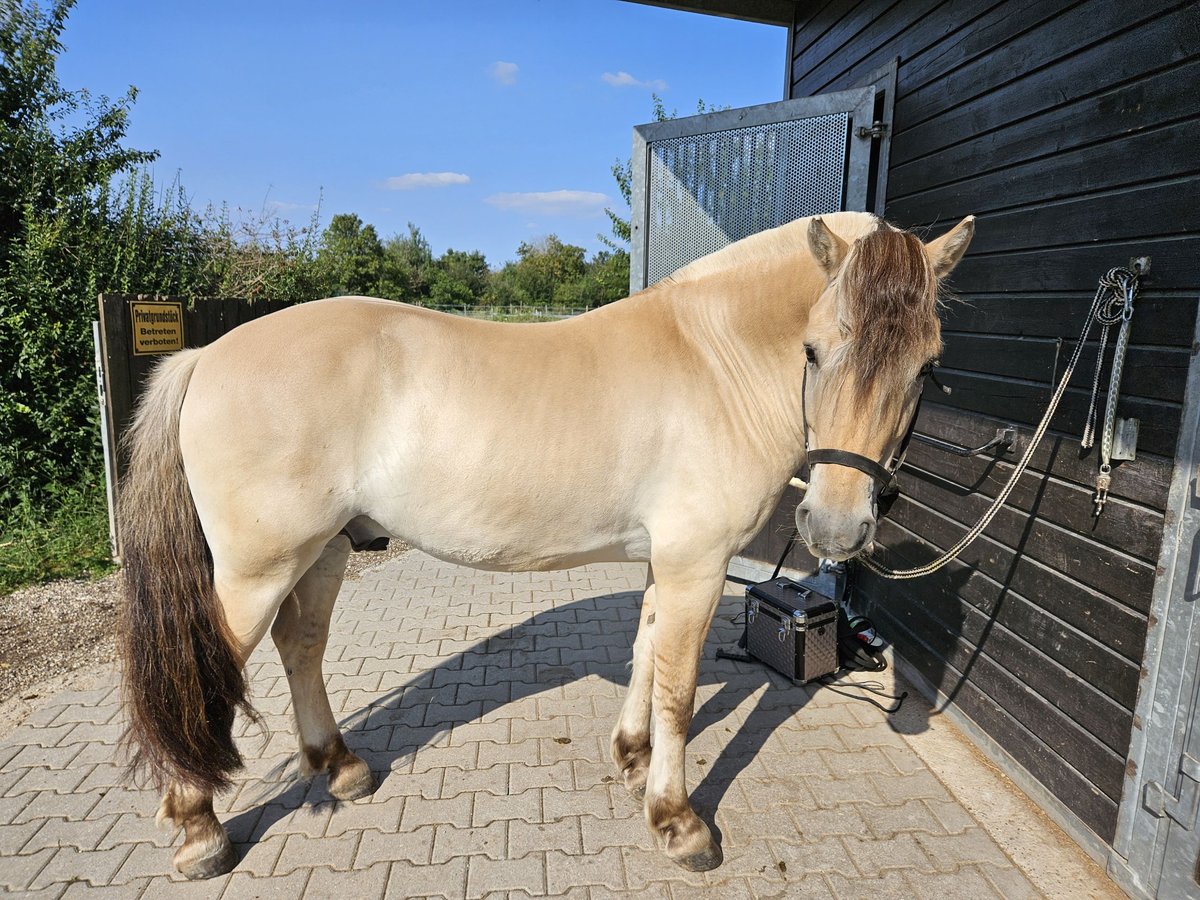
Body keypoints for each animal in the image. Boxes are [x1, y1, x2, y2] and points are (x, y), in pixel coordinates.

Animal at [117, 211, 969, 883]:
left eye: (927, 366)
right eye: (816, 350)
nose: (836, 527)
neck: (714, 360)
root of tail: (206, 356)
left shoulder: (667, 559)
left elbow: (645, 648)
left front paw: (631, 757)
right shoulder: (697, 562)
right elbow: (680, 689)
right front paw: (676, 820)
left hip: (323, 551)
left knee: (302, 645)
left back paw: (340, 767)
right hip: (256, 573)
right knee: (206, 676)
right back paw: (198, 828)